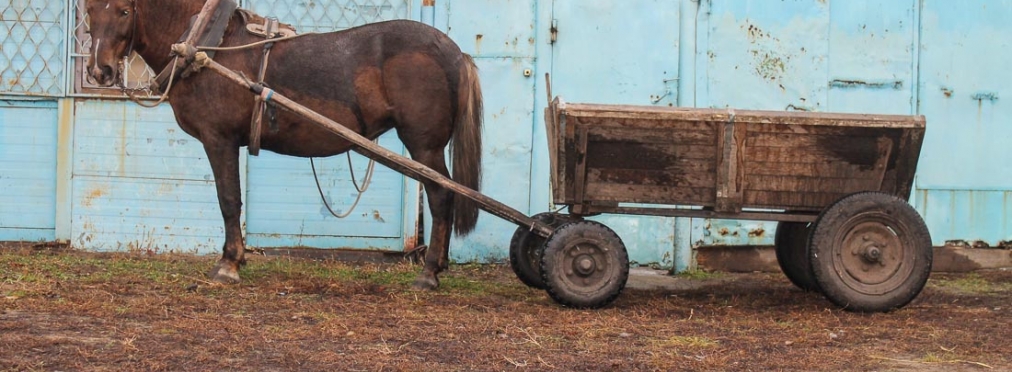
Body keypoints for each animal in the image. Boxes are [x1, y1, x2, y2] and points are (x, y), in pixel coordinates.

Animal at [85, 0, 483, 289]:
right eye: (89, 10)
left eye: (124, 11)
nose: (100, 71)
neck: (210, 46)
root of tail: (453, 51)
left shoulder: (219, 139)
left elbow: (229, 200)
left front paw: (229, 263)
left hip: (425, 147)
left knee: (441, 196)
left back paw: (429, 273)